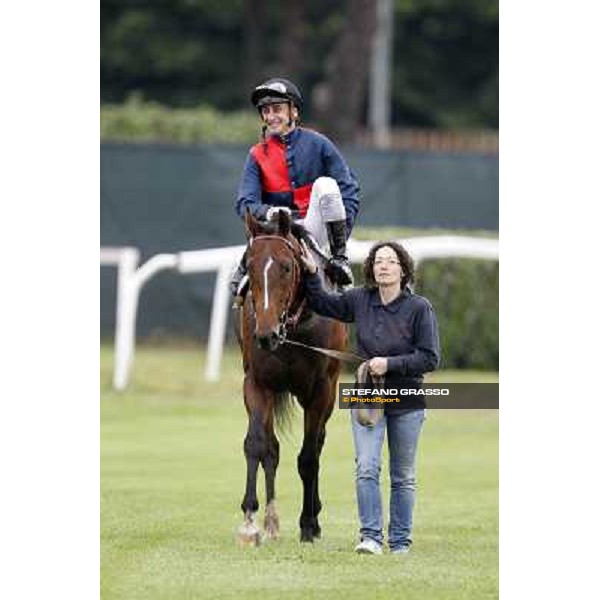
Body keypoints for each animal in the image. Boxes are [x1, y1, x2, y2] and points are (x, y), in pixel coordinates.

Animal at [234, 210, 346, 544]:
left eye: (285, 266)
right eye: (249, 265)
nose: (265, 334)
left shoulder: (320, 389)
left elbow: (309, 457)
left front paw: (308, 524)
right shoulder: (257, 384)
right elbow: (258, 445)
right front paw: (250, 521)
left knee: (318, 444)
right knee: (272, 447)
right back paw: (271, 521)